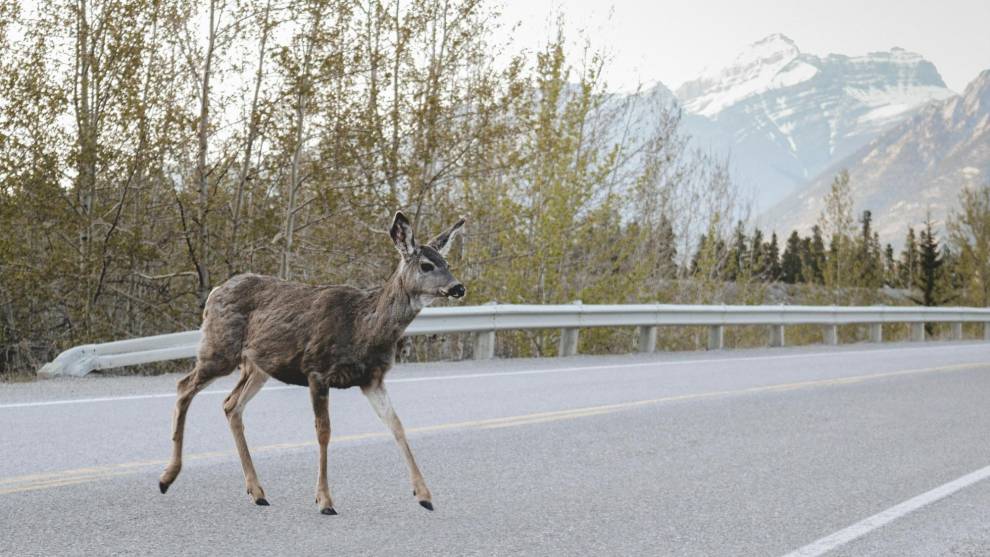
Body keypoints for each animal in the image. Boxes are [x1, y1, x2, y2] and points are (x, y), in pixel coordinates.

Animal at [157, 212, 466, 512]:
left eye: (447, 262)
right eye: (426, 265)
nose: (458, 287)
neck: (364, 327)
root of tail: (215, 292)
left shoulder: (372, 378)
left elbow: (397, 424)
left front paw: (424, 495)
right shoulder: (317, 369)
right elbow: (324, 432)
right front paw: (325, 500)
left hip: (258, 366)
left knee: (231, 404)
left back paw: (257, 491)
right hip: (219, 348)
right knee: (184, 386)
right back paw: (167, 477)